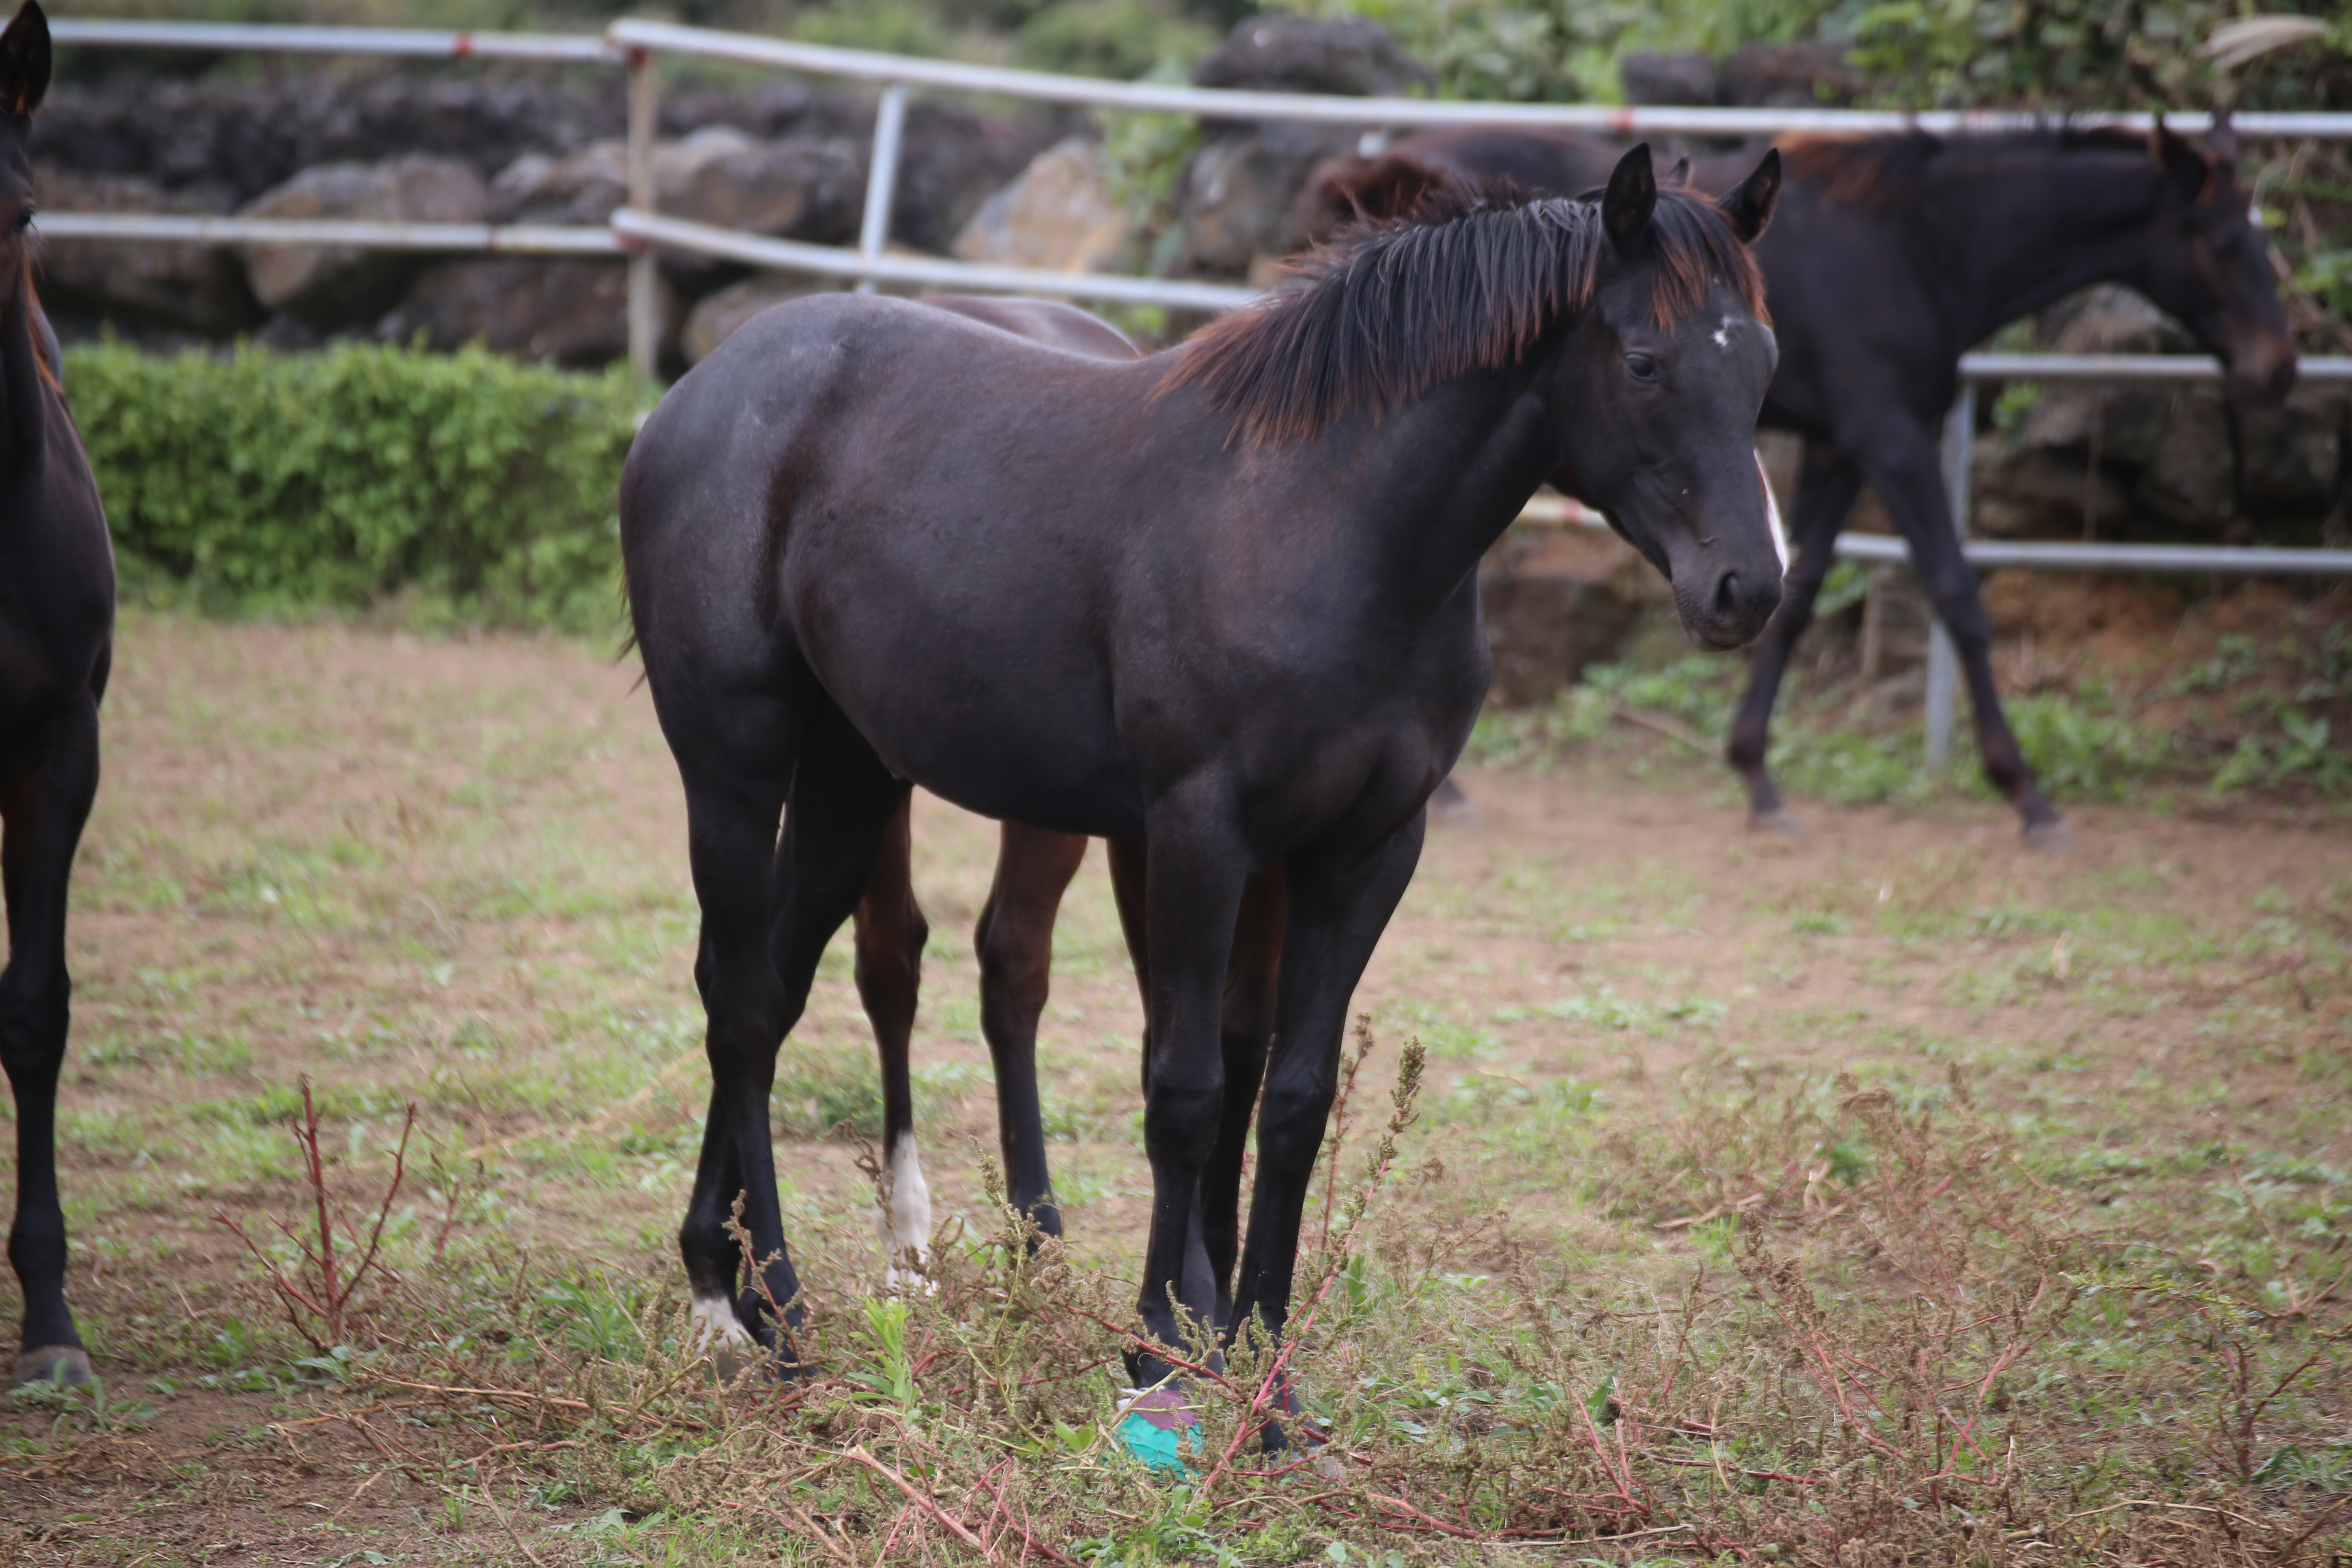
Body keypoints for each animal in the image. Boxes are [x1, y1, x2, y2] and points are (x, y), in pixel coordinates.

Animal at [626, 147, 1778, 1401]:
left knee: (780, 984)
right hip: (733, 766)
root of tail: (698, 391)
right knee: (743, 1004)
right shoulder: (1198, 833)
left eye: (1764, 363)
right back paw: (765, 1310)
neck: (1321, 523)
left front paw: (1264, 1378)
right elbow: (1184, 1090)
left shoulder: (1362, 851)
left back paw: (728, 1272)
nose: (1748, 589)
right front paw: (1161, 1348)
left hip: (852, 779)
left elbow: (1291, 1098)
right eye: (1646, 361)